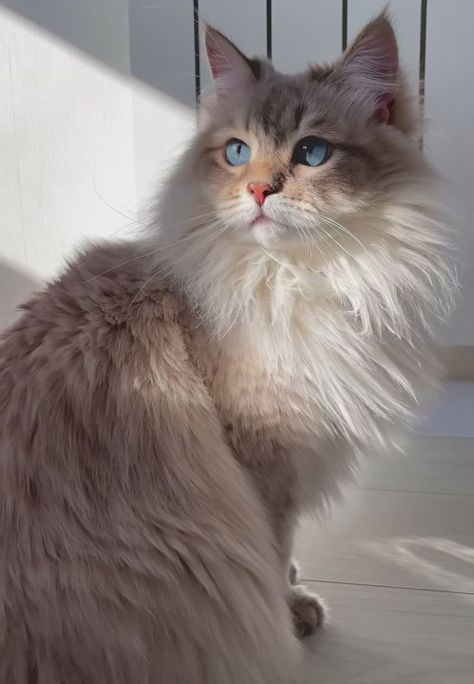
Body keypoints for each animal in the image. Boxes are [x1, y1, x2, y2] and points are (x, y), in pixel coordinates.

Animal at [1, 12, 458, 684]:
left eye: (312, 153)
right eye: (237, 152)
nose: (260, 191)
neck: (294, 280)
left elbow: (283, 550)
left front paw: (293, 592)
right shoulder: (265, 458)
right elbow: (273, 548)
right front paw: (291, 609)